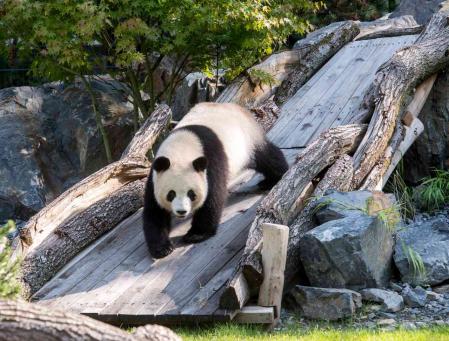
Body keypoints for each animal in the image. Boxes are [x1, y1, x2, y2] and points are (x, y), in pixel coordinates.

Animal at [142, 101, 288, 258]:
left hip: (247, 138)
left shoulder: (210, 161)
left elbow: (212, 197)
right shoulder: (155, 176)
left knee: (266, 156)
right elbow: (154, 211)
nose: (181, 211)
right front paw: (162, 248)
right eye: (171, 194)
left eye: (191, 193)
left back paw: (274, 178)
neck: (180, 149)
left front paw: (196, 234)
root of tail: (235, 106)